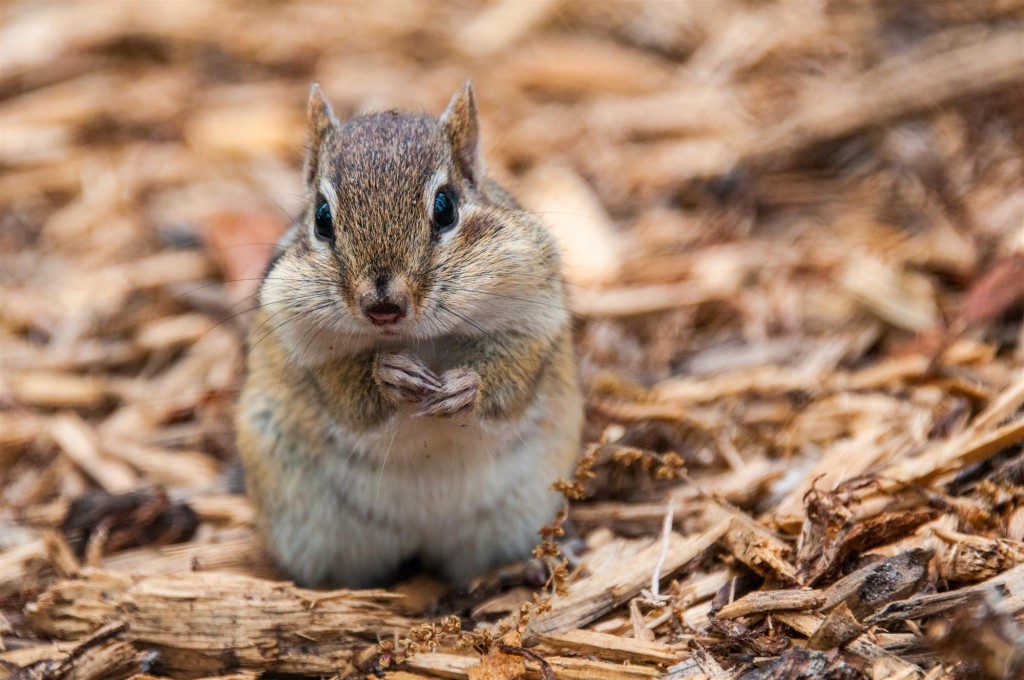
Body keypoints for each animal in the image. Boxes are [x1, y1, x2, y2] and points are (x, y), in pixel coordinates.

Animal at [235, 82, 584, 589]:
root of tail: (422, 537)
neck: (421, 338)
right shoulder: (304, 346)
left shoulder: (532, 319)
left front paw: (465, 386)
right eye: (321, 218)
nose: (383, 306)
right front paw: (390, 374)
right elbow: (347, 392)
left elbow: (511, 375)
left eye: (445, 207)